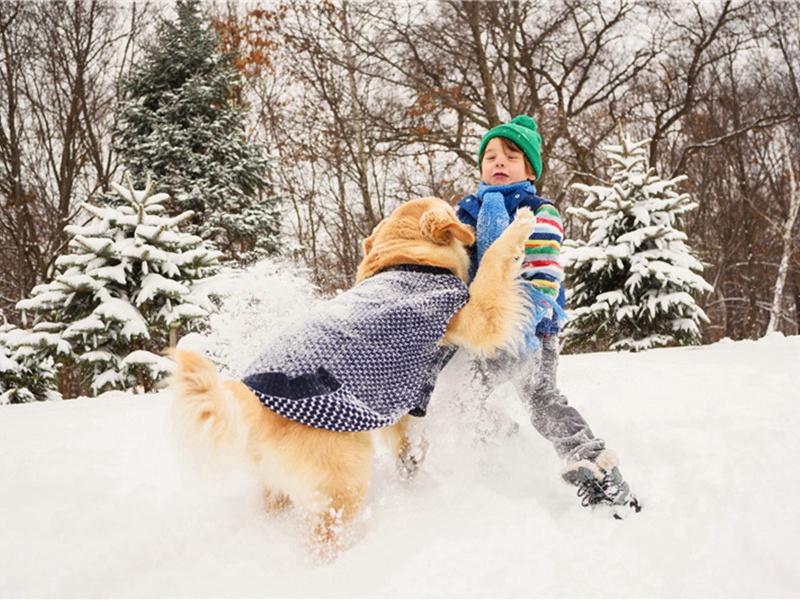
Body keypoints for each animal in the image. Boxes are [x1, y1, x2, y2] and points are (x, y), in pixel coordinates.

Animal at [170, 199, 532, 560]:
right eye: (453, 212)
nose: (469, 224)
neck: (407, 261)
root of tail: (255, 399)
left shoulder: (397, 394)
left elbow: (407, 439)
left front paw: (413, 462)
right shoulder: (474, 317)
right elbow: (494, 262)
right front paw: (521, 224)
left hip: (280, 483)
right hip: (346, 480)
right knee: (323, 539)